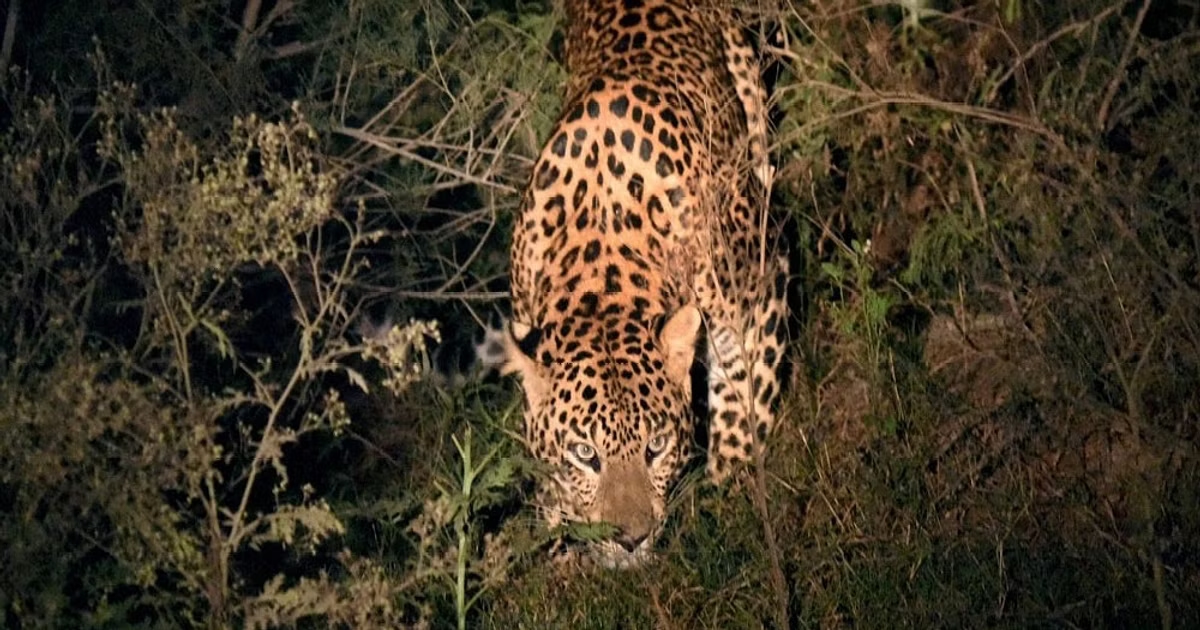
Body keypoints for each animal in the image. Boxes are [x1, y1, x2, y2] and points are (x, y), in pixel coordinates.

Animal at [499, 0, 789, 566]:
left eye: (655, 447)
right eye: (584, 453)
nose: (630, 538)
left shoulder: (763, 286)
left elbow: (744, 409)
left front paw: (732, 495)